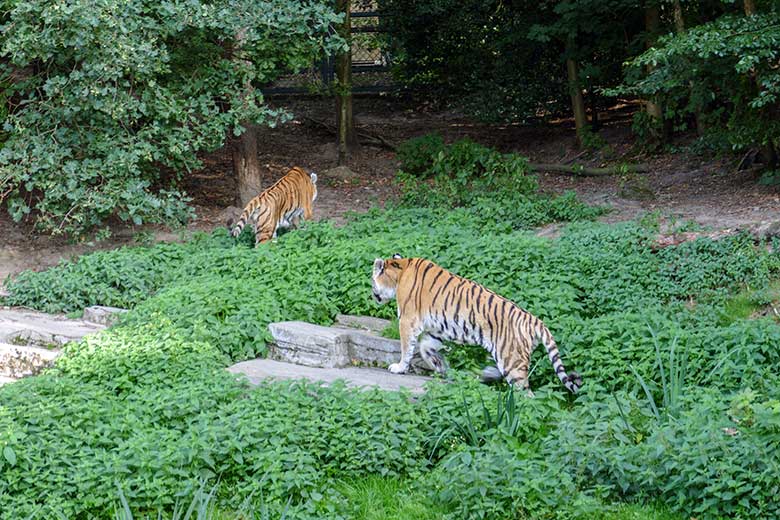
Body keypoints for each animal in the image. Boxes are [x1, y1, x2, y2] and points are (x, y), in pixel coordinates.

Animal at [370, 255, 580, 394]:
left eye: (372, 281)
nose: (373, 295)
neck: (400, 270)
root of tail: (535, 320)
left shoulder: (407, 321)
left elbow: (407, 348)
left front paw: (399, 368)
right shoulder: (437, 329)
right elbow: (424, 347)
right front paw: (440, 365)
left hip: (512, 361)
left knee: (526, 395)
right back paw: (488, 374)